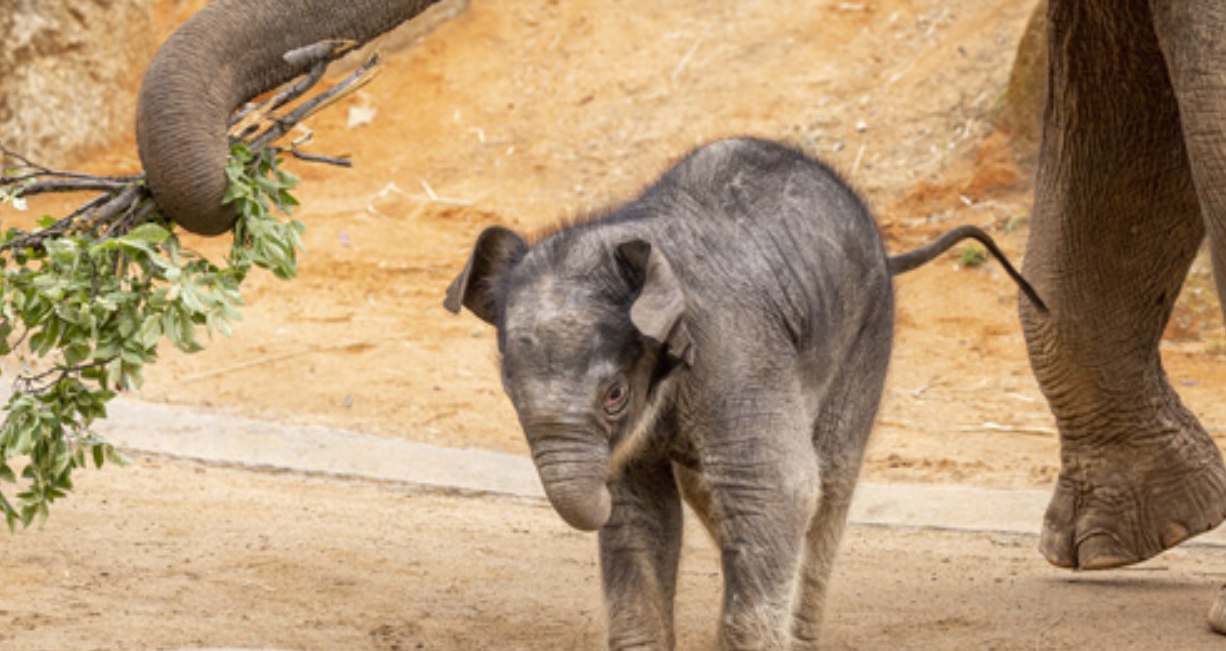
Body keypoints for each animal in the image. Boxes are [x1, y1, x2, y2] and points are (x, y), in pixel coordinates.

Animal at [445, 137, 1043, 650]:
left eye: (614, 394)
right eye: (508, 390)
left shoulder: (732, 346)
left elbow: (778, 488)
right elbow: (642, 513)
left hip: (869, 330)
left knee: (827, 481)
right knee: (712, 488)